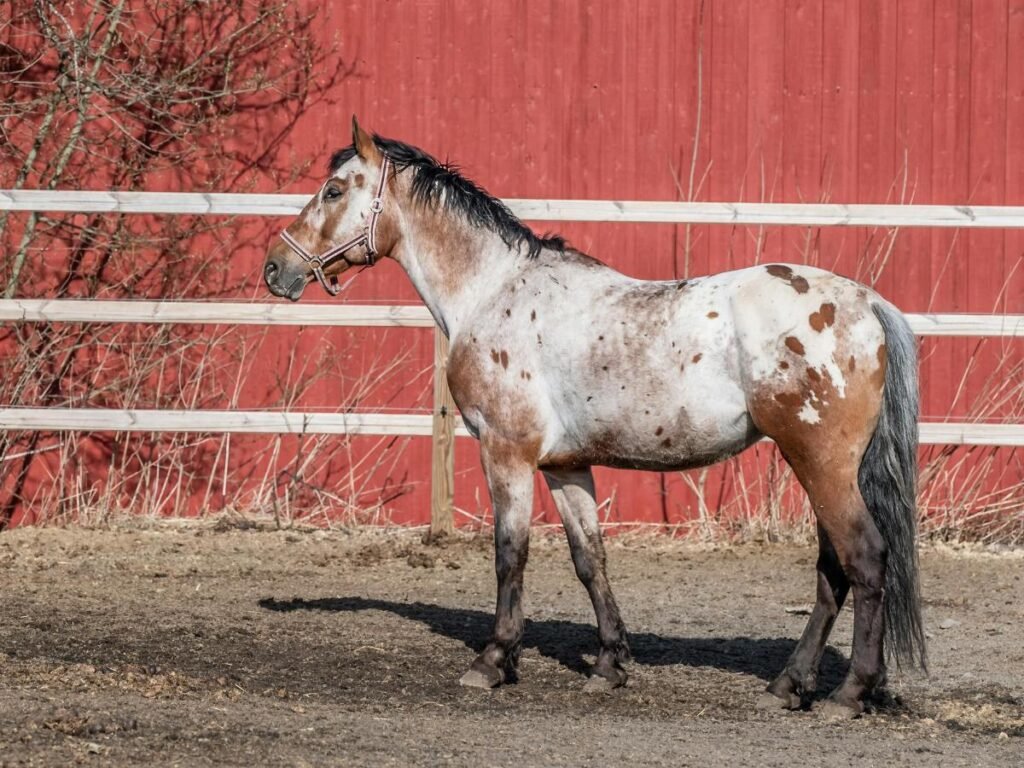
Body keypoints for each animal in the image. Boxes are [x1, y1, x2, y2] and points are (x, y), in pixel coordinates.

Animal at [264, 117, 929, 720]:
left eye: (333, 191)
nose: (275, 268)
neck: (493, 290)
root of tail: (868, 303)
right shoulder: (565, 466)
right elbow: (590, 559)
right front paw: (610, 665)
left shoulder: (506, 452)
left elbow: (510, 552)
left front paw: (493, 661)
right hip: (824, 467)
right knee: (832, 571)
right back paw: (789, 685)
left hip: (821, 463)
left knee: (864, 559)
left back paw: (848, 694)